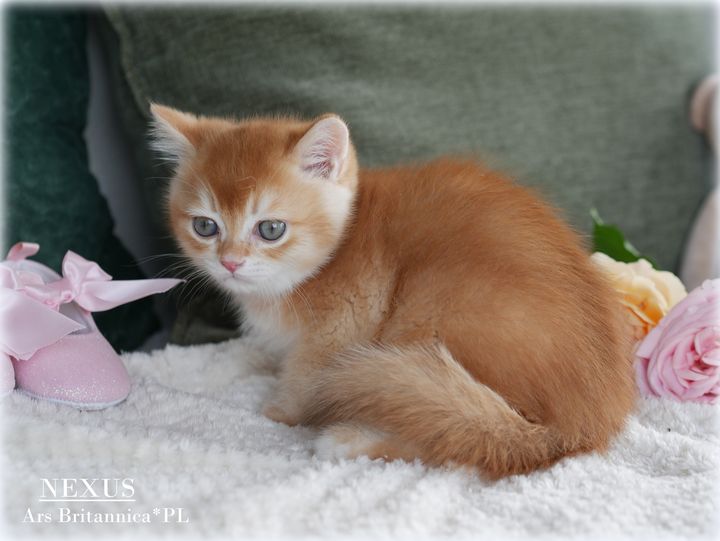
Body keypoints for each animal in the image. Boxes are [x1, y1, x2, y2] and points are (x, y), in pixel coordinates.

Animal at [151, 104, 636, 479]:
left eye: (270, 229)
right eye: (205, 226)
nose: (230, 261)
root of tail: (583, 426)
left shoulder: (346, 320)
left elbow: (306, 374)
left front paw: (281, 410)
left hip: (427, 311)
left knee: (461, 436)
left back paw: (351, 440)